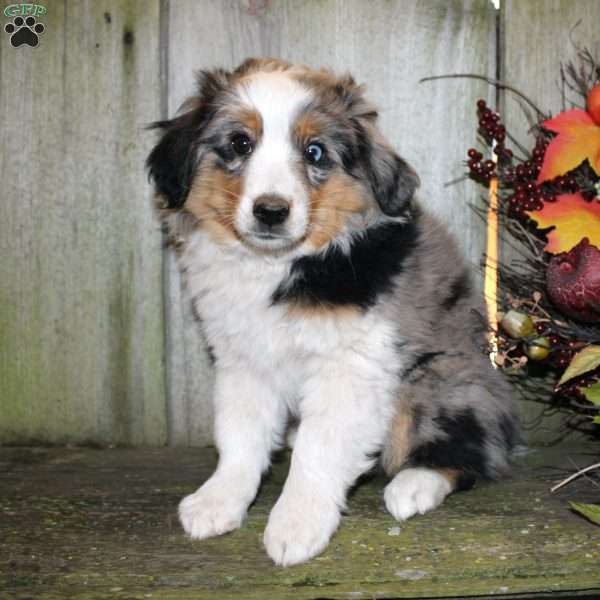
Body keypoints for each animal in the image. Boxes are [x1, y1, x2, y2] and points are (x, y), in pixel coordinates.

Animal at [148, 59, 516, 568]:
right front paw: (218, 501)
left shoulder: (350, 368)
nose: (271, 212)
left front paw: (296, 525)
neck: (279, 265)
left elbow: (317, 450)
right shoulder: (243, 361)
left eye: (315, 152)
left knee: (468, 447)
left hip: (441, 378)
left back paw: (414, 486)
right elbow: (239, 436)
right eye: (240, 143)